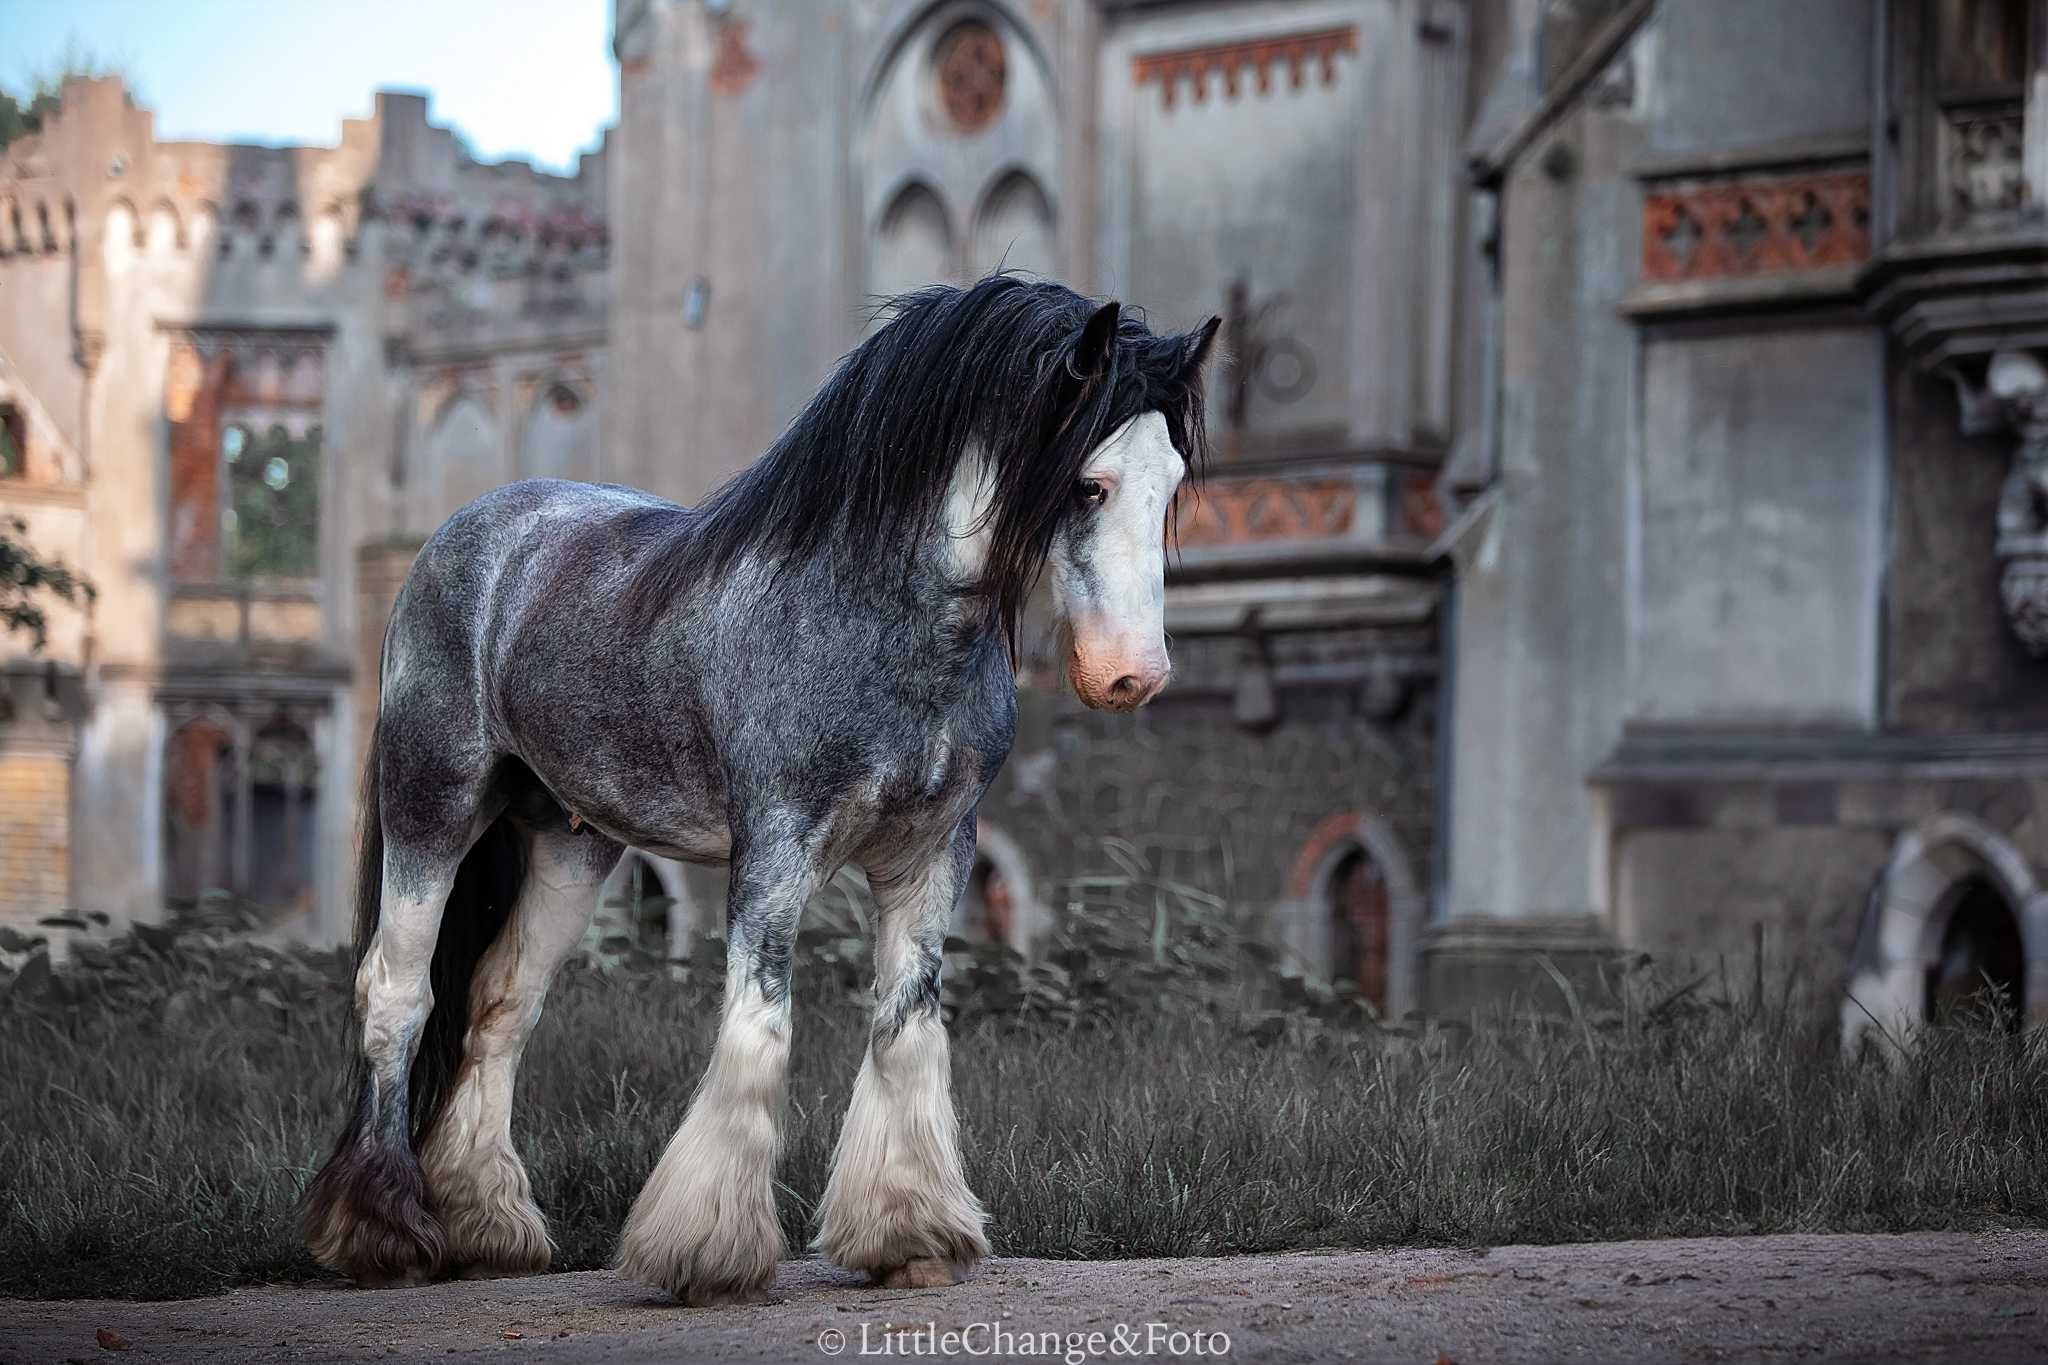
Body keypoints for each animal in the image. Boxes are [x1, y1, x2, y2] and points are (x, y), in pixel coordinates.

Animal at [299, 272, 1212, 1309]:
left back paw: (485, 1226)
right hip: (433, 806)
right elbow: (759, 1026)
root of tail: (465, 534)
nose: (1133, 676)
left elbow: (906, 1028)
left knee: (500, 1006)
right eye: (1089, 483)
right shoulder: (775, 845)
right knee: (397, 993)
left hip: (571, 843)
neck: (875, 620)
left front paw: (910, 1236)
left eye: (1172, 482)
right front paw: (708, 1255)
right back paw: (382, 1232)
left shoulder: (931, 855)